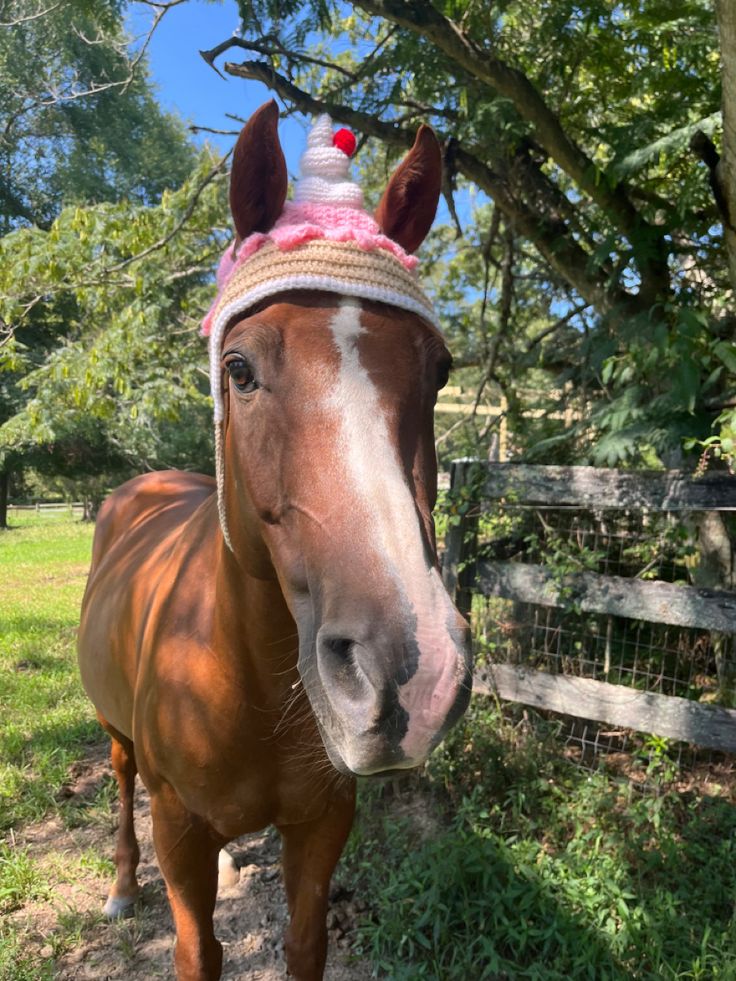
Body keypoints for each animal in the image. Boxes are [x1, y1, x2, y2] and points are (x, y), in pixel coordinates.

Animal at [77, 101, 472, 980]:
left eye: (438, 370)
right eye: (239, 368)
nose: (412, 672)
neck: (247, 671)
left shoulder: (324, 820)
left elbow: (302, 941)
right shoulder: (178, 828)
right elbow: (199, 950)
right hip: (120, 742)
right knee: (119, 783)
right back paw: (120, 886)